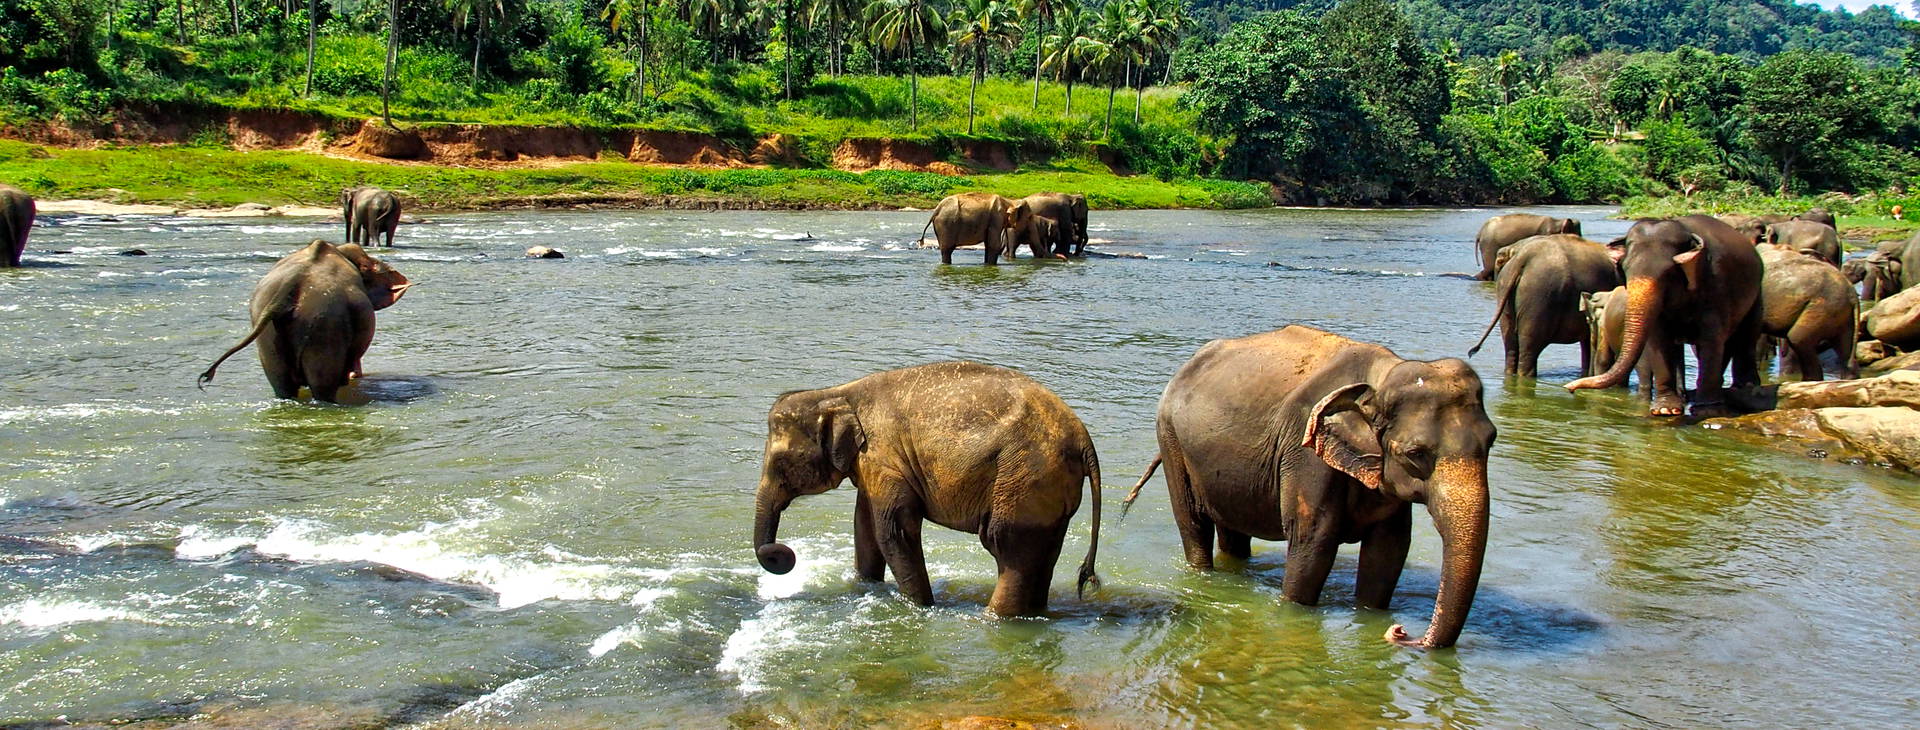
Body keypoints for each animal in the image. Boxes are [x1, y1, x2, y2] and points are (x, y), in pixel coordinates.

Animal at [751, 361, 1102, 617]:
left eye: (780, 462)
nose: (783, 553)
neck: (837, 393)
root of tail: (1084, 440)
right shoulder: (871, 465)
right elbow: (864, 526)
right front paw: (865, 587)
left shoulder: (883, 456)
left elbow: (894, 530)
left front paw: (921, 608)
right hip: (1048, 490)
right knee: (1043, 554)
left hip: (1023, 479)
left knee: (1008, 549)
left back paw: (991, 619)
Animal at [1121, 326, 1495, 650]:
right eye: (1415, 454)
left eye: (1491, 440)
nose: (1400, 631)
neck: (1381, 377)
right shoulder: (1305, 452)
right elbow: (1314, 539)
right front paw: (1294, 612)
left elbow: (1389, 549)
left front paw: (1371, 615)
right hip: (1171, 440)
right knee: (1193, 524)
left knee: (1232, 533)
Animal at [1468, 234, 1621, 378]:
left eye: (1499, 262)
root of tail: (1522, 259)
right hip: (1540, 297)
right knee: (1530, 348)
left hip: (1509, 291)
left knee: (1511, 345)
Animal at [1566, 215, 1764, 417]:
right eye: (1626, 269)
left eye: (1668, 273)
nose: (1569, 388)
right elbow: (1658, 339)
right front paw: (1665, 409)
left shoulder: (1717, 285)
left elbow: (1711, 339)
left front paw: (1707, 410)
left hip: (1757, 293)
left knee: (1746, 337)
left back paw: (1745, 387)